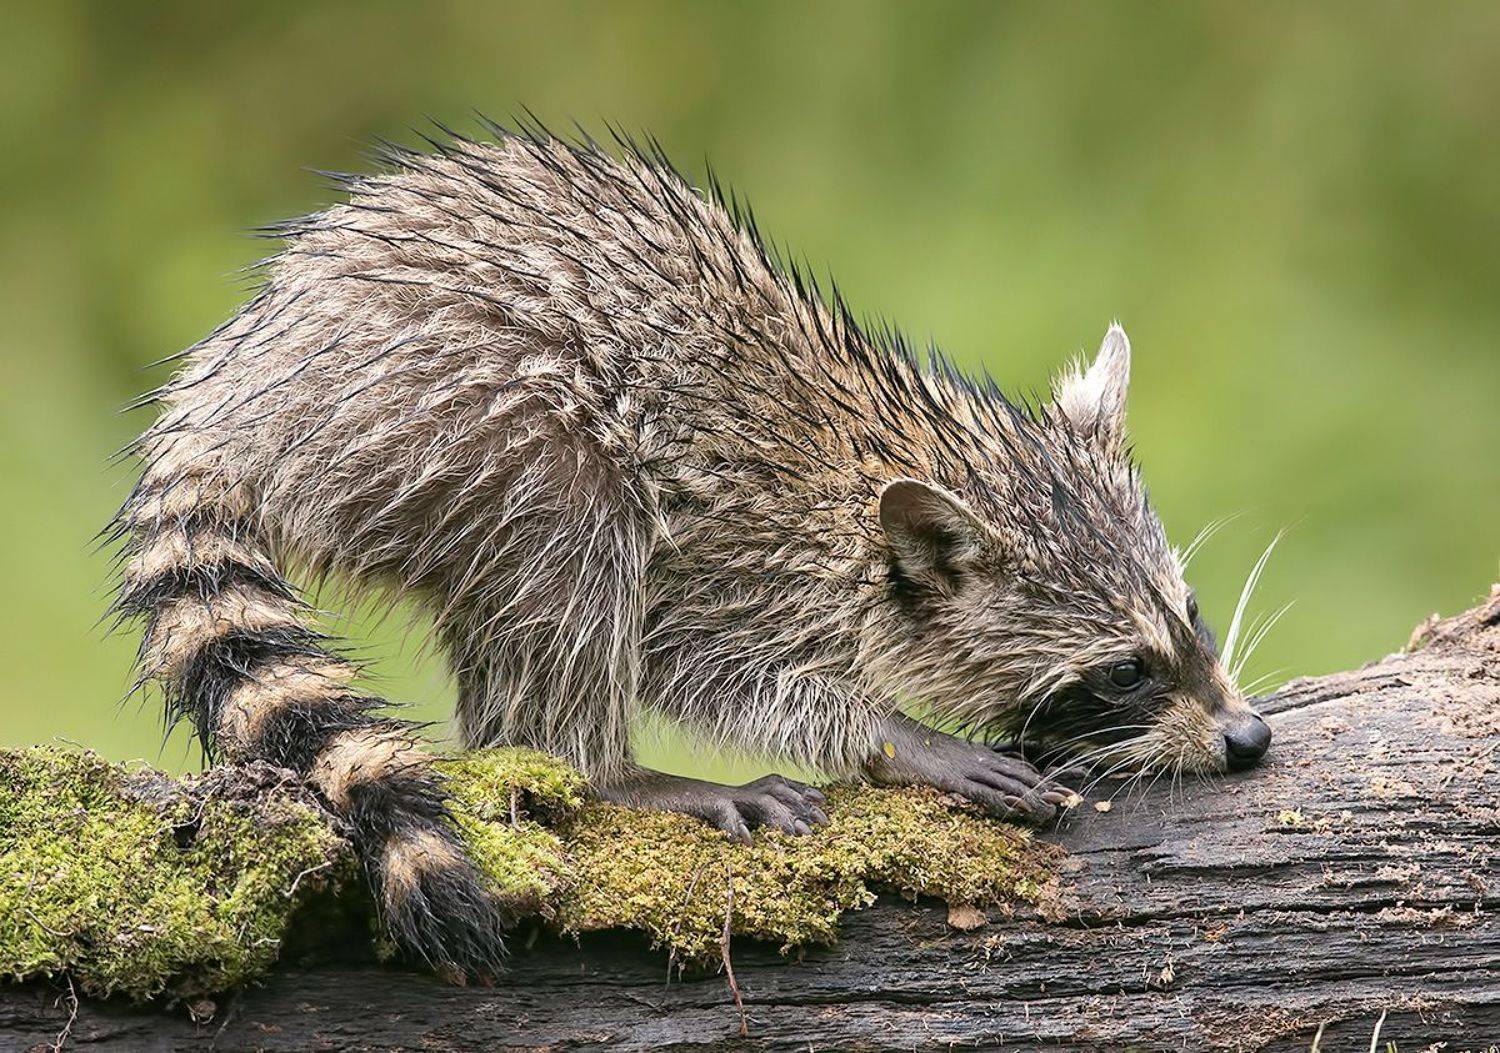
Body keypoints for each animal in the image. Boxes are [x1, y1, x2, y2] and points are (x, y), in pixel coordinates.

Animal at [110, 125, 1270, 975]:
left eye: (1191, 615)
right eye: (1124, 672)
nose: (1249, 737)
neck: (881, 466)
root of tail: (234, 397)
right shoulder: (736, 547)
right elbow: (696, 663)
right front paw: (890, 733)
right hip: (473, 430)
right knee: (569, 575)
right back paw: (614, 775)